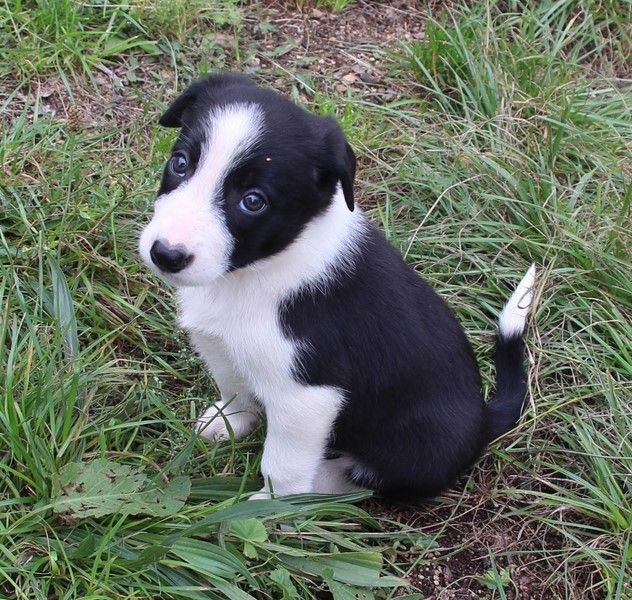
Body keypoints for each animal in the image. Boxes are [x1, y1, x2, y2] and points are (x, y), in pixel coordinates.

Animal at [138, 72, 532, 502]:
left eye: (253, 201)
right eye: (180, 164)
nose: (166, 255)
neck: (255, 270)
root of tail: (483, 421)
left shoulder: (308, 397)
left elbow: (282, 465)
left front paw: (274, 507)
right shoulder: (221, 345)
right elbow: (235, 389)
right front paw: (229, 424)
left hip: (419, 440)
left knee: (375, 478)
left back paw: (324, 484)